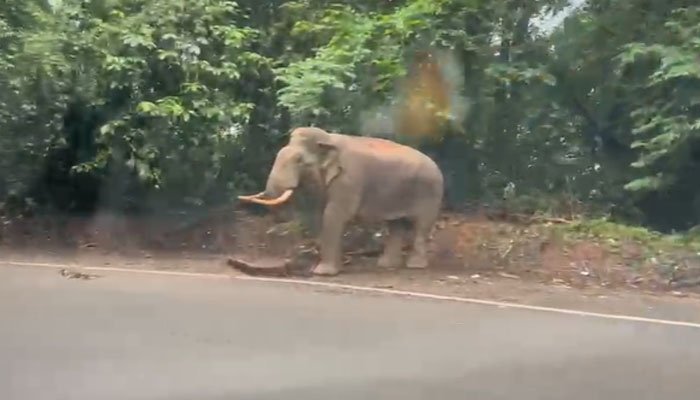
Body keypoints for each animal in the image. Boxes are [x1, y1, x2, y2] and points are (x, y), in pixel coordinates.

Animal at [237, 126, 442, 276]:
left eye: (300, 161)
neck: (328, 140)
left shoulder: (349, 180)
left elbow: (333, 215)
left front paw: (323, 273)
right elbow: (320, 214)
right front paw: (336, 269)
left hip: (430, 192)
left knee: (421, 226)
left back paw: (415, 266)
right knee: (395, 225)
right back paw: (386, 265)